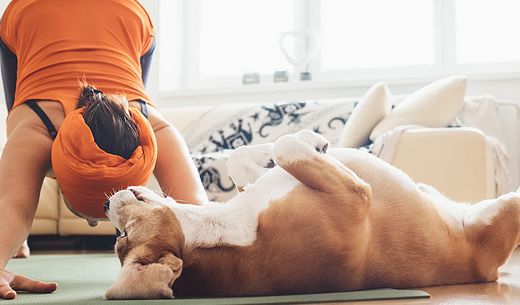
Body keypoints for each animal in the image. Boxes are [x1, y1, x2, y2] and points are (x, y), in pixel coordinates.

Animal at [102, 129, 520, 298]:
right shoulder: (355, 197)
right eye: (122, 236)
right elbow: (287, 146)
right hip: (510, 207)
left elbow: (243, 157)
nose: (105, 205)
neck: (226, 230)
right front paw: (311, 139)